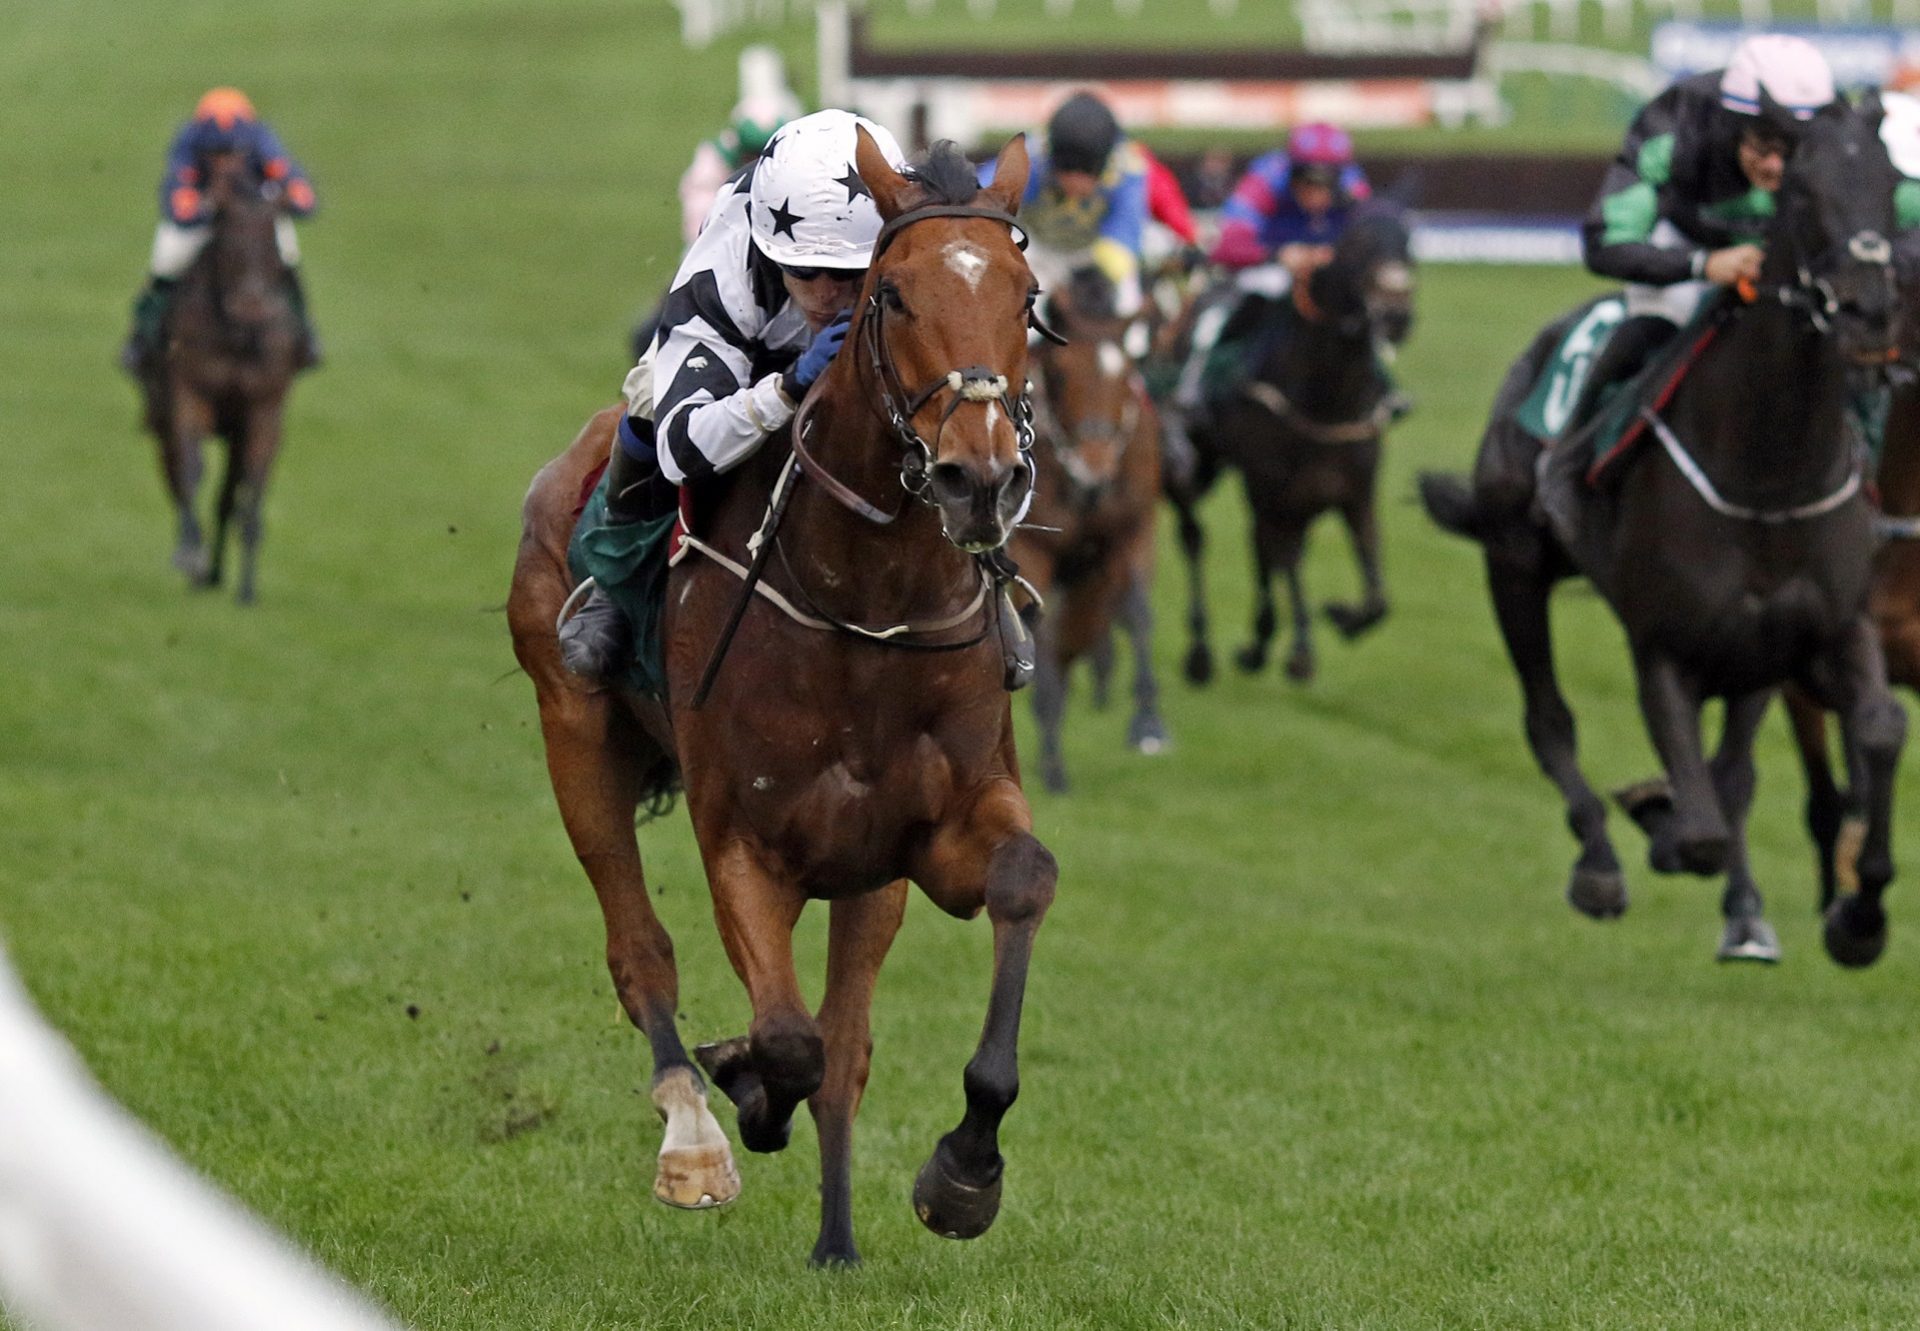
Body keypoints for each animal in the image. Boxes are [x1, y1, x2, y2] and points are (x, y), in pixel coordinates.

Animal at [137, 157, 301, 606]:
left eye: (273, 248)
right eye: (228, 244)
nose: (252, 309)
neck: (237, 335)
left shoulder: (263, 411)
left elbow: (251, 492)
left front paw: (246, 590)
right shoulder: (187, 393)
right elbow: (191, 469)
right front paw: (190, 557)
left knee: (227, 497)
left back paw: (215, 575)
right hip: (161, 415)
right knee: (177, 475)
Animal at [510, 135, 1059, 1267]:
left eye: (1026, 297)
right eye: (893, 295)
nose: (980, 476)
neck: (865, 607)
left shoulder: (930, 833)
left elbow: (1021, 879)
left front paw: (965, 1172)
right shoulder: (744, 843)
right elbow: (785, 1041)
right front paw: (745, 1087)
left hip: (866, 874)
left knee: (846, 1044)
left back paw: (836, 1244)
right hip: (573, 731)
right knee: (643, 955)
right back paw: (693, 1137)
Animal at [1013, 266, 1159, 795]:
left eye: (1126, 374)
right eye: (1060, 373)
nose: (1094, 472)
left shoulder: (1130, 531)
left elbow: (1136, 611)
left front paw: (1147, 724)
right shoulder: (1034, 549)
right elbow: (1042, 631)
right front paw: (1052, 759)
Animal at [1159, 210, 1420, 683]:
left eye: (1409, 246)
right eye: (1358, 247)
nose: (1395, 314)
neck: (1325, 401)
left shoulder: (1353, 493)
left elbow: (1377, 595)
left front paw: (1339, 617)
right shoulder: (1274, 489)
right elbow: (1288, 559)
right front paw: (1299, 649)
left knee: (1258, 545)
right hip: (1189, 463)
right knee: (1195, 536)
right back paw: (1201, 651)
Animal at [1428, 96, 1904, 964]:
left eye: (1890, 182)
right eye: (1802, 191)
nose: (1870, 312)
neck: (1768, 473)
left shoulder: (1821, 629)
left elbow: (1878, 729)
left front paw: (1859, 917)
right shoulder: (1664, 648)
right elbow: (1701, 826)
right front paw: (1659, 820)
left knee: (1732, 770)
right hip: (1513, 563)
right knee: (1549, 720)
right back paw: (1600, 862)